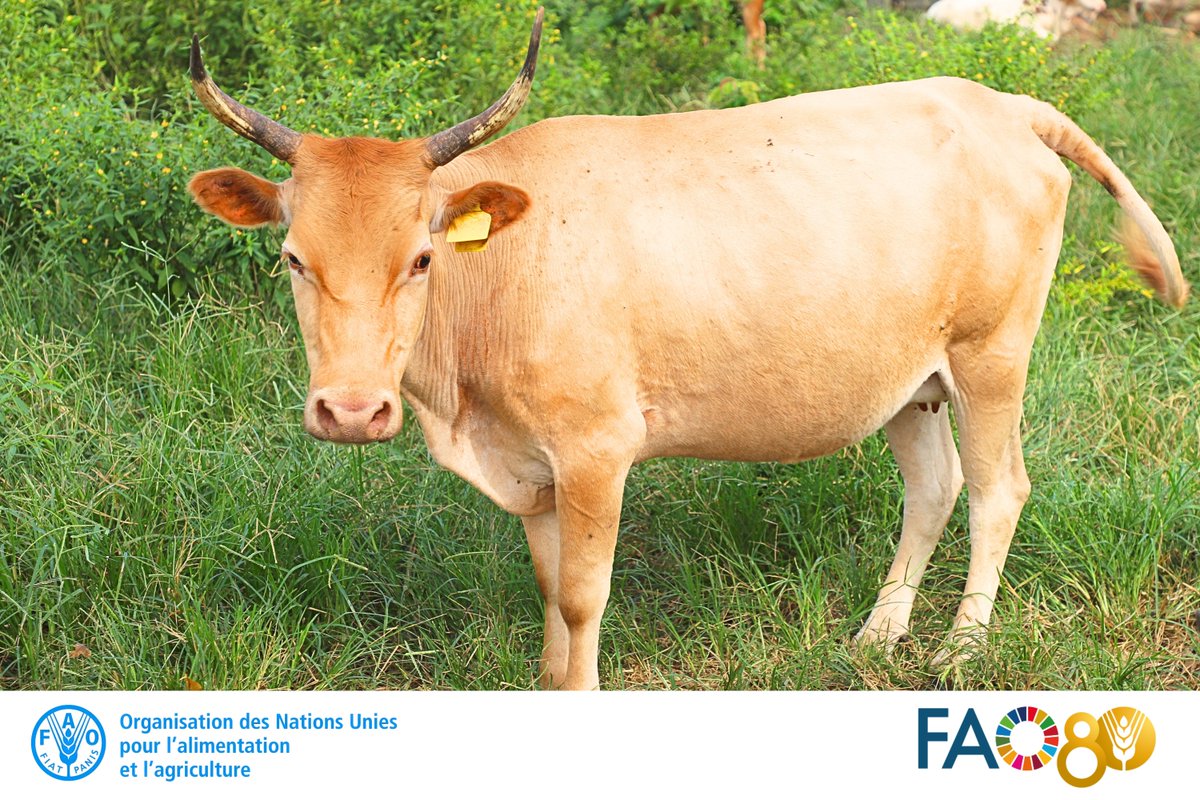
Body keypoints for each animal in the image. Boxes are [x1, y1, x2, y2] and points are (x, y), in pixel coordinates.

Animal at [188, 9, 1188, 689]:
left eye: (422, 258)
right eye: (292, 257)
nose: (352, 410)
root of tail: (998, 102)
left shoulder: (597, 448)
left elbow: (584, 595)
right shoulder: (534, 466)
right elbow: (549, 588)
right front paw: (550, 681)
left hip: (992, 356)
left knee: (997, 489)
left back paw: (960, 648)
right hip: (909, 379)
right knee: (934, 487)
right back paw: (879, 633)